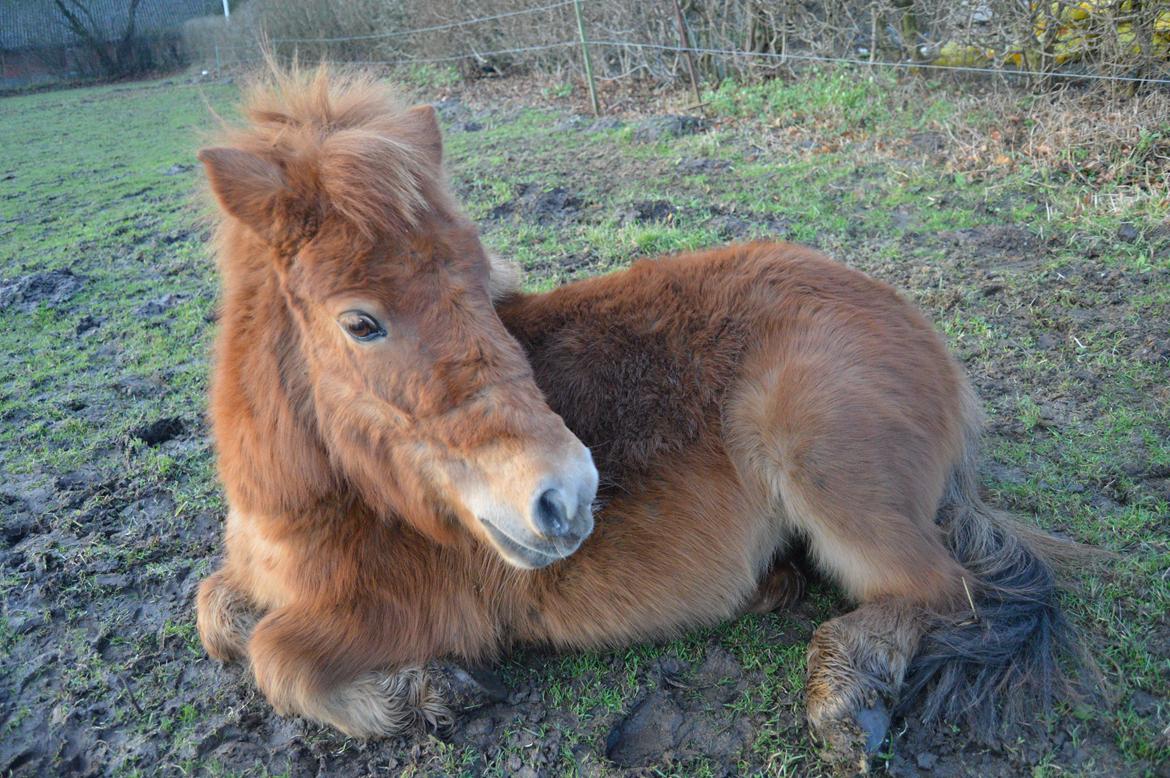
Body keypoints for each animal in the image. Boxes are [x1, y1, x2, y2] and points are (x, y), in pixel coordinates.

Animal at [191, 63, 1076, 767]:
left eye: (480, 284)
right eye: (360, 322)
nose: (567, 495)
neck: (309, 505)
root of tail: (927, 339)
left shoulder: (409, 610)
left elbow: (277, 655)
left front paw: (426, 689)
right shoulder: (251, 574)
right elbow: (218, 609)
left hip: (820, 460)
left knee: (941, 590)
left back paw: (847, 692)